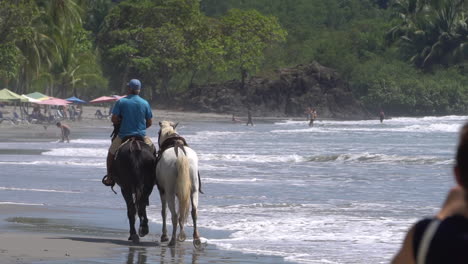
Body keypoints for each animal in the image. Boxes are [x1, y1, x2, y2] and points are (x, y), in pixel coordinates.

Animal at [156, 120, 202, 249]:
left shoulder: (162, 192)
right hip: (194, 191)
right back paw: (196, 239)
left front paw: (164, 235)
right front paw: (181, 236)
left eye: (158, 132)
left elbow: (164, 212)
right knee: (193, 212)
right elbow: (182, 210)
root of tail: (180, 155)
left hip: (170, 193)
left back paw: (172, 240)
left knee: (174, 215)